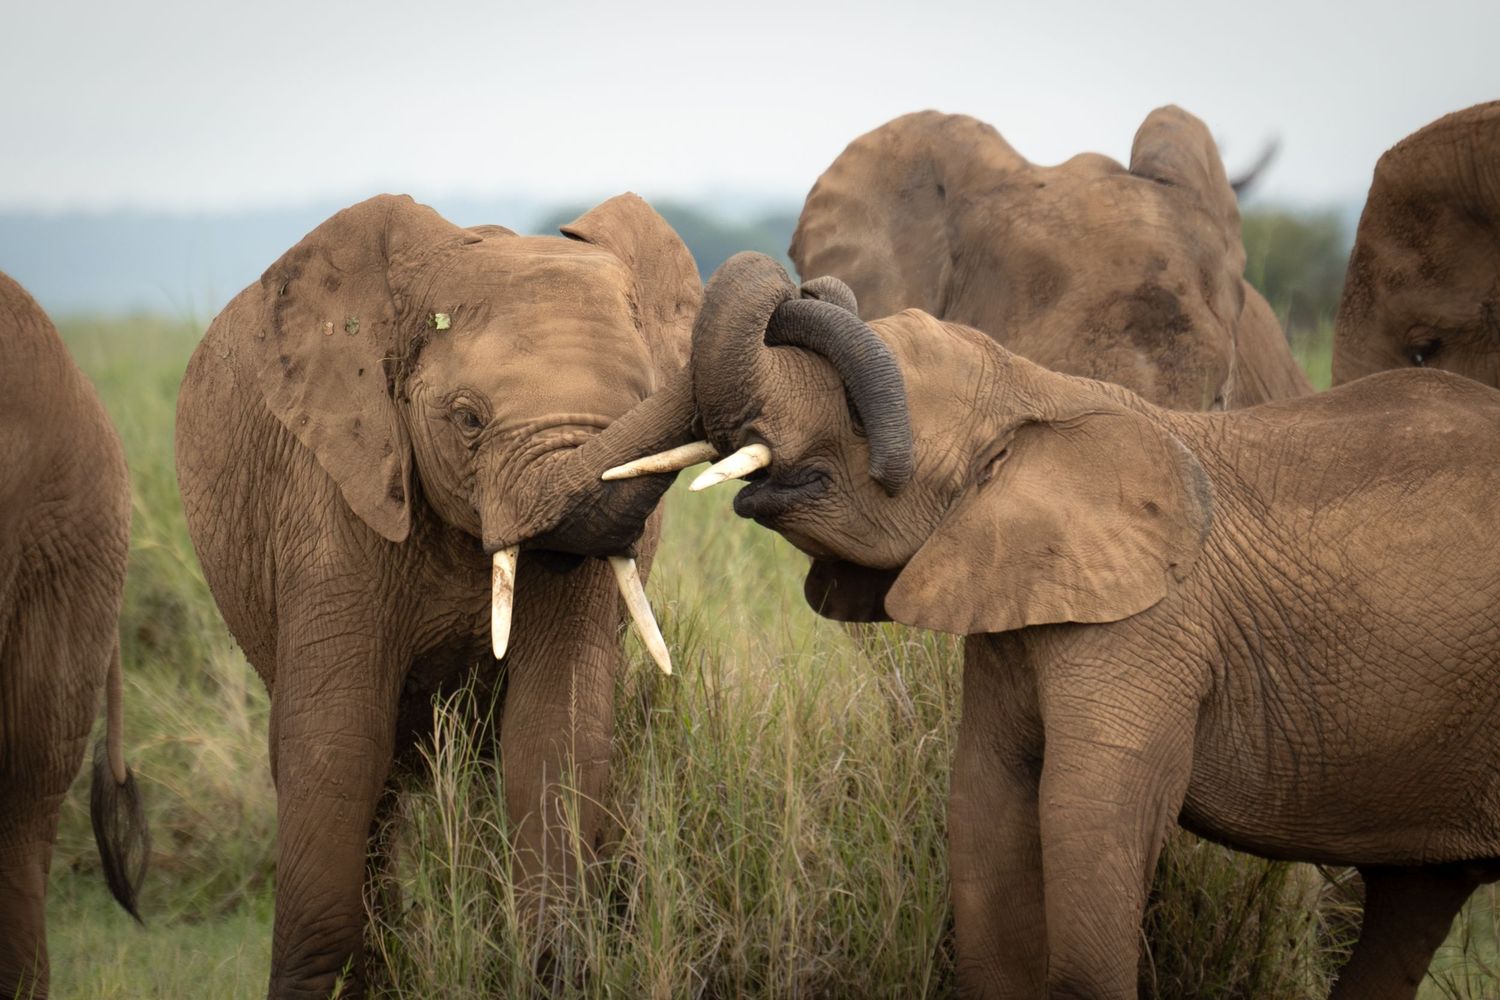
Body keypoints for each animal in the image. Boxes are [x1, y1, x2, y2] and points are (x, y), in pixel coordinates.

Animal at [174, 193, 705, 998]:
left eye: (646, 407)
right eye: (468, 419)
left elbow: (554, 729)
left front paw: (549, 969)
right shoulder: (335, 486)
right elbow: (338, 745)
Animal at [608, 252, 1500, 1000]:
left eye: (863, 416)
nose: (804, 287)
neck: (1042, 395)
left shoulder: (1149, 627)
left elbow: (1087, 825)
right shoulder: (1013, 609)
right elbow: (984, 812)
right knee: (1413, 902)